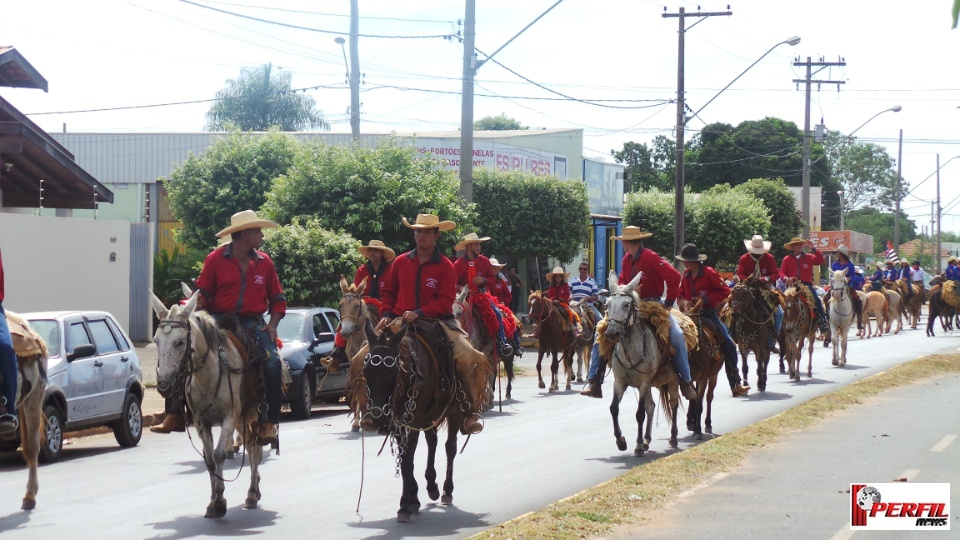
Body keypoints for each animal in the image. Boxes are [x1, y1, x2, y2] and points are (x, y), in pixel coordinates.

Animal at [150, 292, 262, 520]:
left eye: (180, 342)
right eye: (156, 341)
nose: (164, 385)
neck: (207, 377)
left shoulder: (229, 418)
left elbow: (219, 454)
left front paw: (220, 501)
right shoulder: (201, 422)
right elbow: (209, 458)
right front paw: (214, 502)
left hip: (254, 415)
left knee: (255, 449)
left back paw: (252, 493)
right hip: (242, 419)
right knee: (249, 445)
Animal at [360, 318, 464, 520]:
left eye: (392, 372)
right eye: (366, 370)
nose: (376, 417)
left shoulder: (413, 420)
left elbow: (408, 460)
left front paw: (404, 506)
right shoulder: (398, 424)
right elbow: (404, 458)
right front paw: (412, 499)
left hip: (452, 412)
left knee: (450, 447)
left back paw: (447, 490)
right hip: (428, 416)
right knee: (432, 441)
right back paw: (431, 485)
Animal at [604, 270, 680, 456]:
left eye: (626, 305)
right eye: (607, 304)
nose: (611, 333)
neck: (630, 352)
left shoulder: (644, 383)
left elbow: (639, 414)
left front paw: (637, 446)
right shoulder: (620, 381)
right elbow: (614, 408)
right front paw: (621, 441)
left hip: (672, 380)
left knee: (673, 405)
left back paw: (673, 438)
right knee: (651, 406)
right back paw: (647, 439)